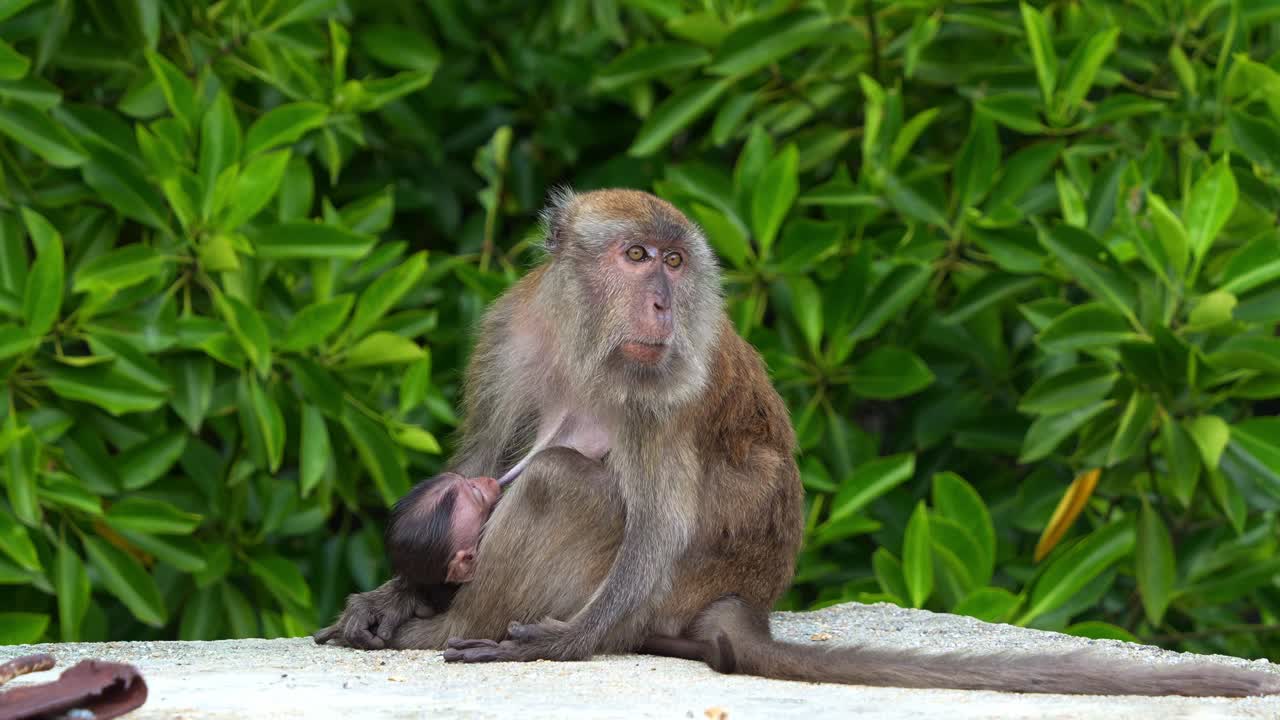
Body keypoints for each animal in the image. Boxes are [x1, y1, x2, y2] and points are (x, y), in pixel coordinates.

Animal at [316, 188, 1280, 697]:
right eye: (635, 256)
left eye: (674, 264)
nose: (662, 304)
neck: (588, 339)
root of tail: (743, 598)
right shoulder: (512, 330)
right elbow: (479, 461)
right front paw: (388, 593)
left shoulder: (668, 385)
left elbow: (655, 520)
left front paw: (560, 643)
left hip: (668, 588)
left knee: (558, 479)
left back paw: (464, 628)